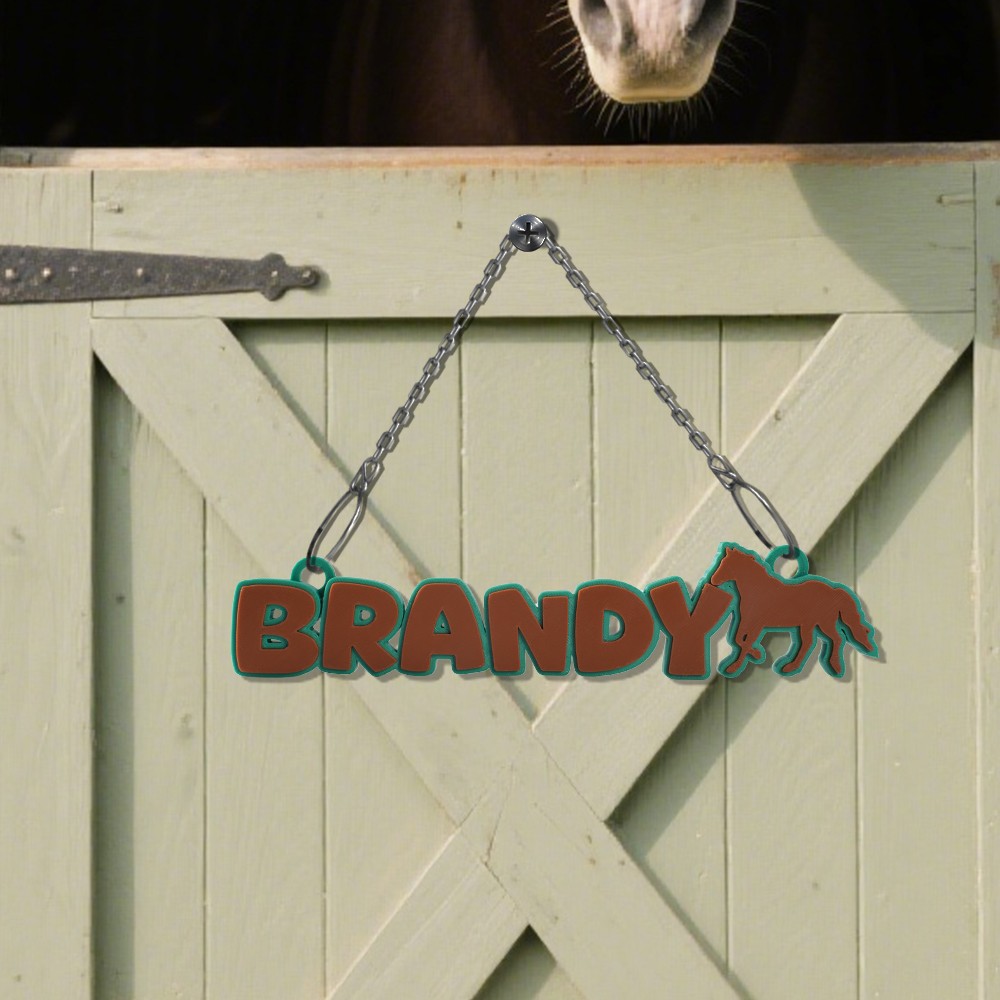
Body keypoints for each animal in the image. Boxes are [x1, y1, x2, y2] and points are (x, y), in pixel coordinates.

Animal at [707, 543, 879, 678]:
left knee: (835, 638)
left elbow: (744, 640)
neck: (758, 589)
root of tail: (833, 590)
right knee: (812, 642)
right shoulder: (746, 620)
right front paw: (754, 654)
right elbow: (739, 639)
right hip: (810, 624)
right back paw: (792, 666)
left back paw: (832, 667)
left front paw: (735, 666)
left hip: (823, 622)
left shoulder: (756, 622)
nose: (713, 581)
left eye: (726, 564)